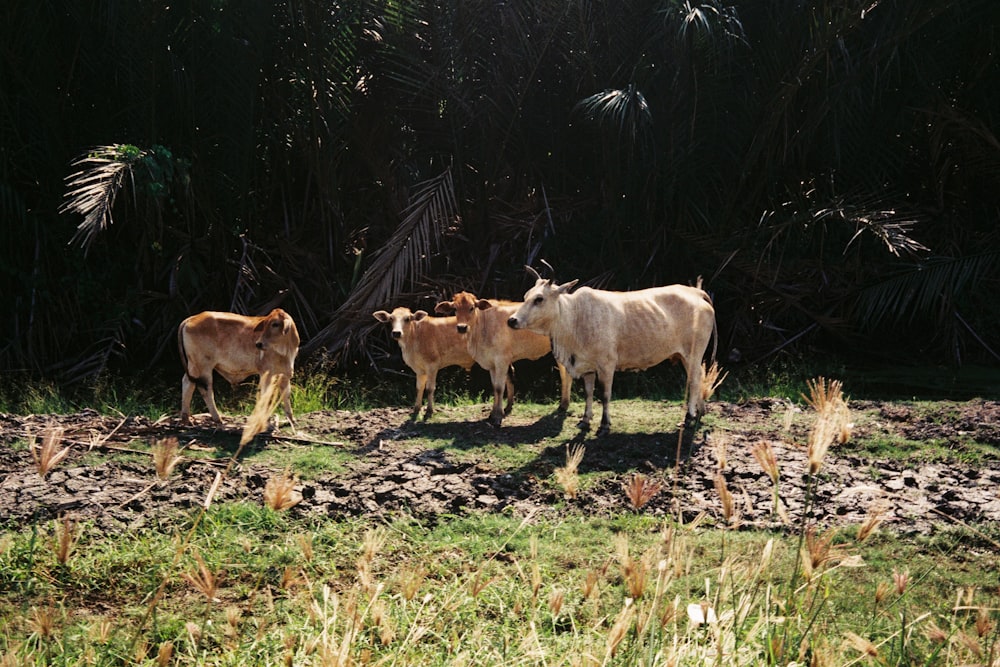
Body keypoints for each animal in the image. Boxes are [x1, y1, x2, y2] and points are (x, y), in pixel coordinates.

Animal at [432, 290, 572, 428]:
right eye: (455, 309)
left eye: (472, 308)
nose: (462, 327)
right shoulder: (491, 363)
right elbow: (494, 387)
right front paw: (492, 414)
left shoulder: (501, 360)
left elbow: (499, 387)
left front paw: (498, 417)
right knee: (564, 374)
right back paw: (563, 405)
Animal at [508, 268, 720, 436]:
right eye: (526, 296)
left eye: (539, 299)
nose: (512, 320)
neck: (575, 318)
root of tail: (695, 291)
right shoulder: (587, 367)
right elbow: (588, 393)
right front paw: (585, 420)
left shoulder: (607, 365)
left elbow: (605, 395)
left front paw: (604, 425)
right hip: (686, 356)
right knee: (698, 377)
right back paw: (700, 412)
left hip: (692, 354)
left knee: (693, 381)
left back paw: (690, 417)